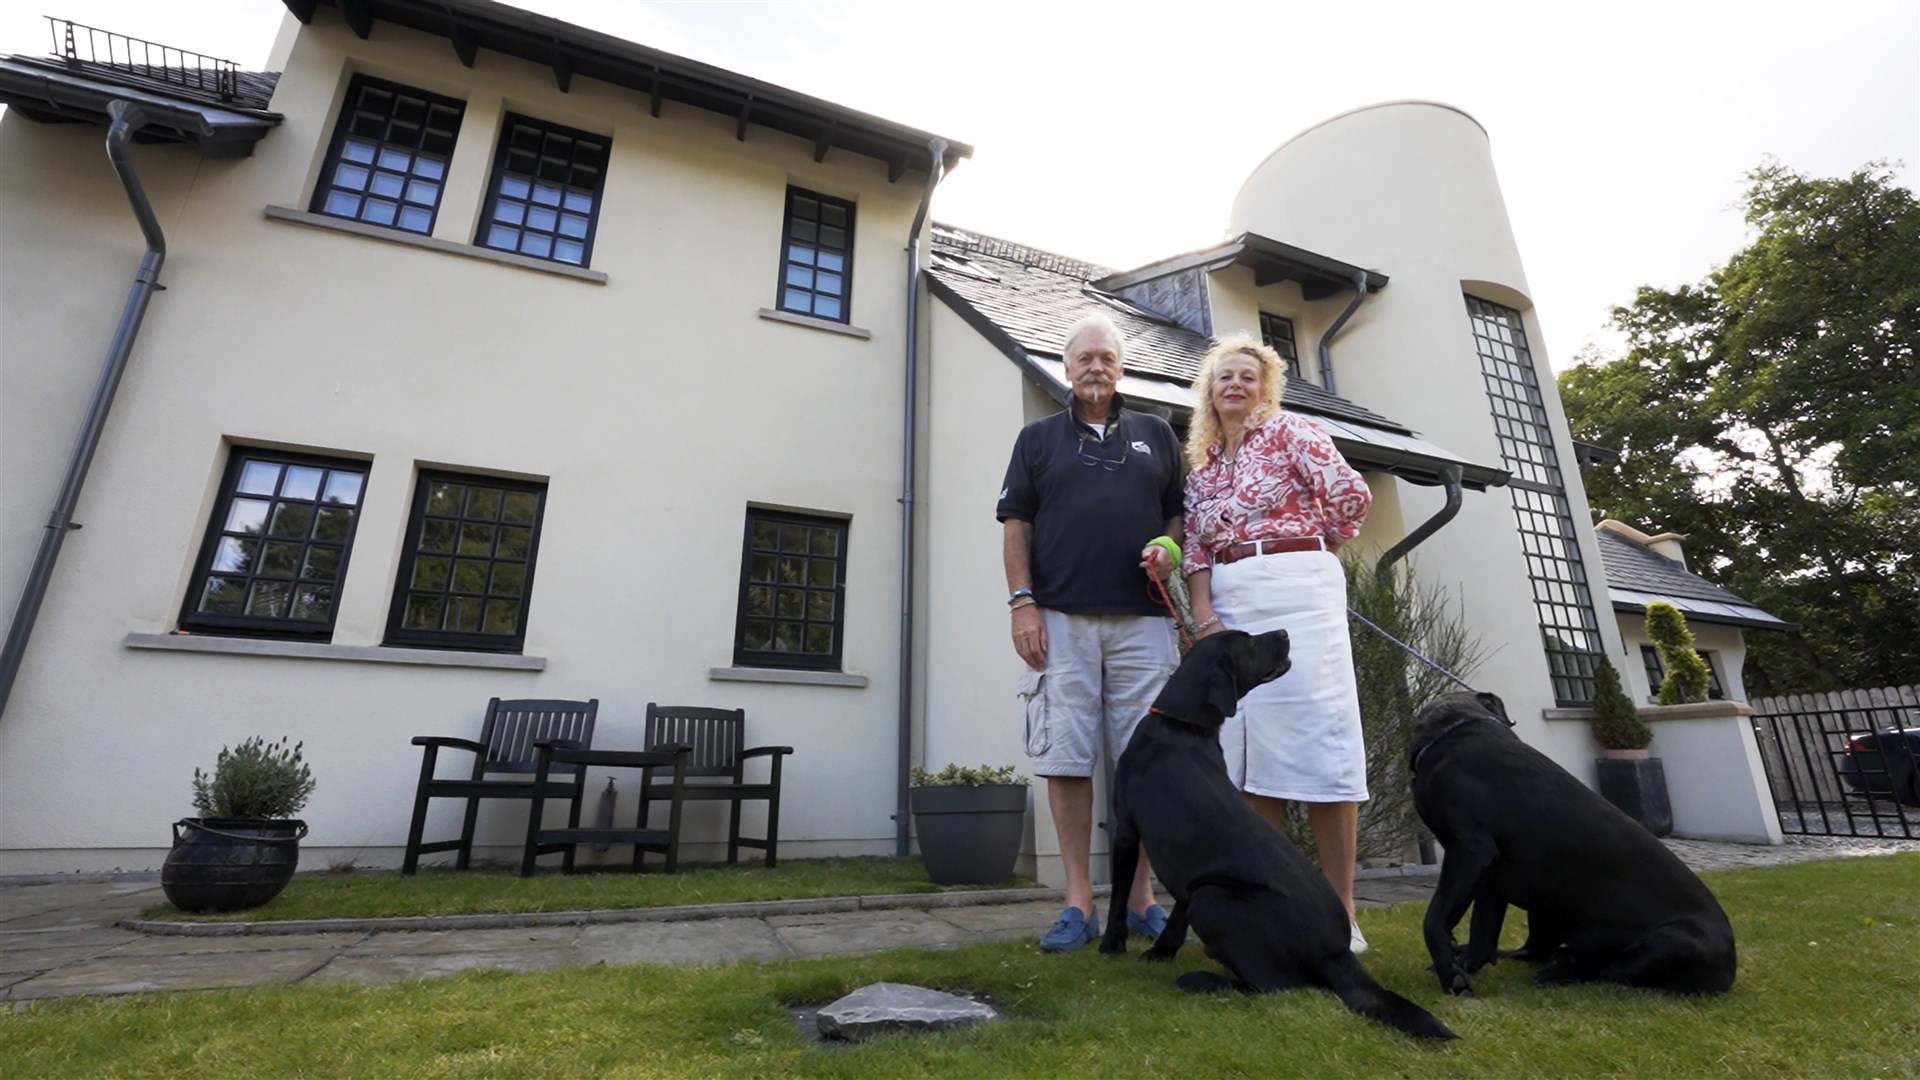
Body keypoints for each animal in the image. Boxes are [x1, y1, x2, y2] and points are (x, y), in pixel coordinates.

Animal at [1098, 626, 1451, 1037]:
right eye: (1250, 643)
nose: (1283, 631)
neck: (1182, 725)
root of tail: (1335, 952)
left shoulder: (1127, 833)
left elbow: (1119, 899)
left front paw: (1110, 946)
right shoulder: (1186, 874)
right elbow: (1174, 916)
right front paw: (1160, 952)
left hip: (1212, 896)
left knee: (1275, 986)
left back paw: (1202, 979)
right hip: (1205, 889)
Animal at [1413, 687, 1743, 991]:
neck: (1455, 731)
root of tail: (1730, 966)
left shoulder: (1470, 849)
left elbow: (1434, 919)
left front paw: (1451, 972)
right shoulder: (1490, 875)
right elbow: (1482, 929)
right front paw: (1464, 961)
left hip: (1675, 941)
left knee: (1604, 970)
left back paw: (1561, 969)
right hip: (1545, 906)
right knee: (1537, 950)